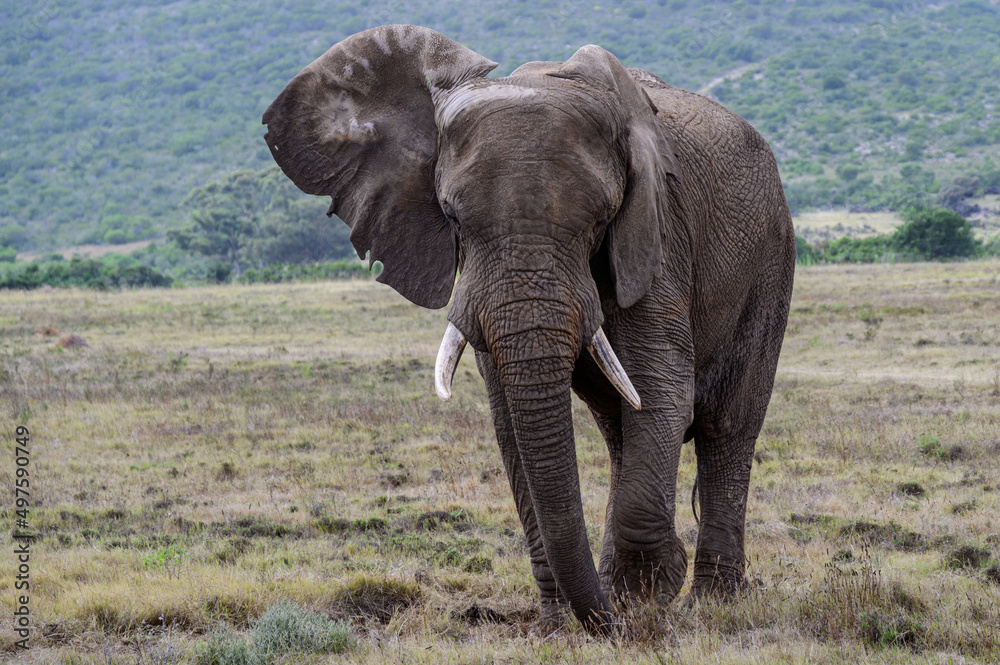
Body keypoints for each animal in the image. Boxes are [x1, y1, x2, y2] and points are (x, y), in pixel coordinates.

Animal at [262, 25, 795, 635]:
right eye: (452, 216)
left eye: (602, 218)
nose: (609, 624)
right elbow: (511, 425)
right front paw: (568, 619)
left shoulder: (657, 236)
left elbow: (662, 392)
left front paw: (641, 601)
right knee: (620, 430)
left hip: (772, 260)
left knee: (727, 425)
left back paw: (713, 603)